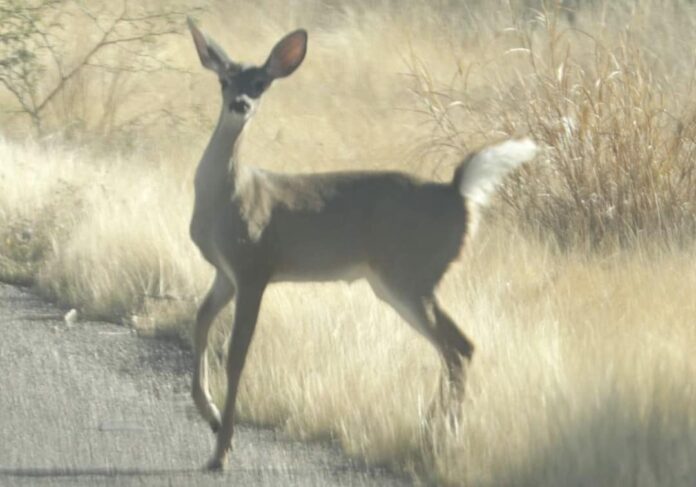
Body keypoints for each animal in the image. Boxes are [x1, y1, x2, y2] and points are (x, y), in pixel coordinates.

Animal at [185, 18, 538, 470]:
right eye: (225, 80)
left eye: (261, 82)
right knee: (458, 347)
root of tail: (458, 194)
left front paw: (222, 448)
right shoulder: (225, 273)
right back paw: (435, 435)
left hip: (411, 272)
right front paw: (211, 416)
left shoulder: (254, 266)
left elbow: (235, 354)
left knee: (458, 346)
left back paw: (438, 438)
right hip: (396, 282)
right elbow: (199, 323)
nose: (241, 104)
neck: (227, 196)